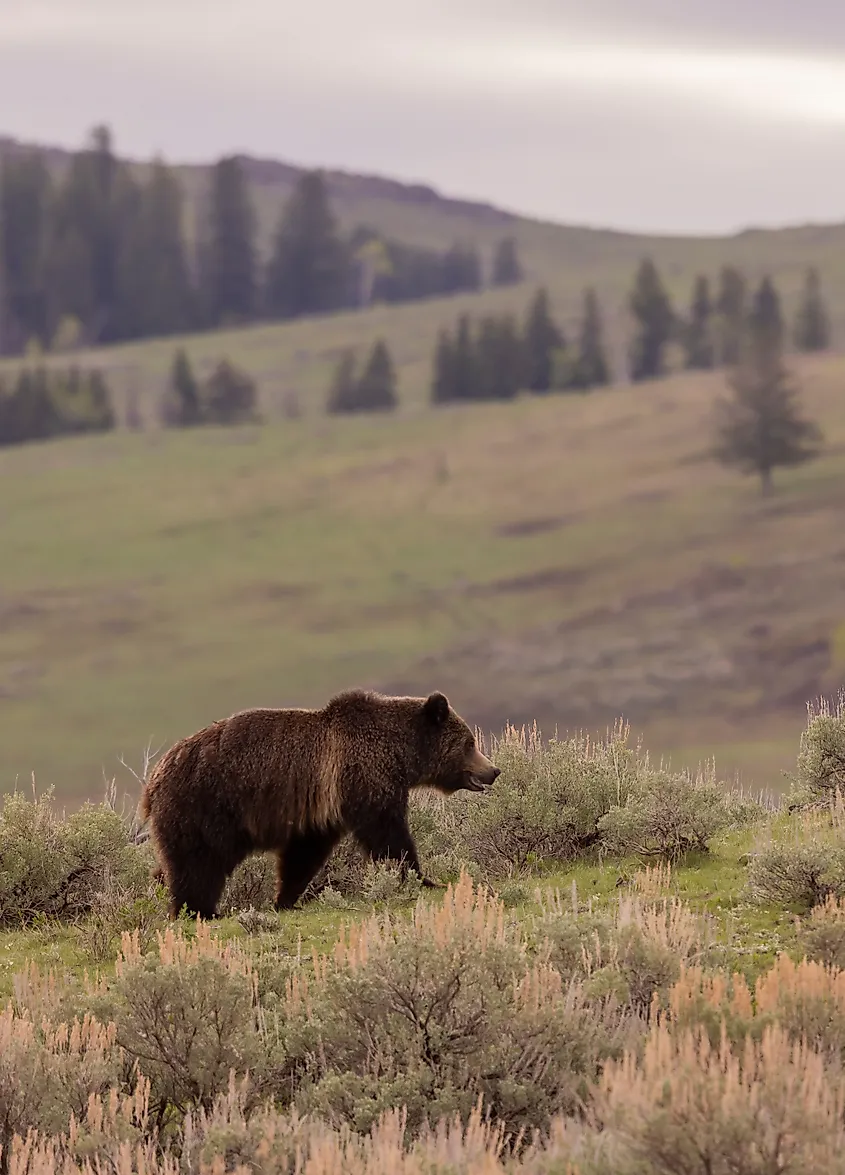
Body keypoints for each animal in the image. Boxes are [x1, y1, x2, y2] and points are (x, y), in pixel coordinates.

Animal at [140, 688, 500, 920]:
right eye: (469, 743)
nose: (493, 770)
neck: (399, 754)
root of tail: (155, 777)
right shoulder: (362, 778)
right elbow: (388, 835)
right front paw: (422, 878)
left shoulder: (320, 810)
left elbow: (304, 853)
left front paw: (285, 898)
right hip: (205, 804)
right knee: (198, 863)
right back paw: (199, 910)